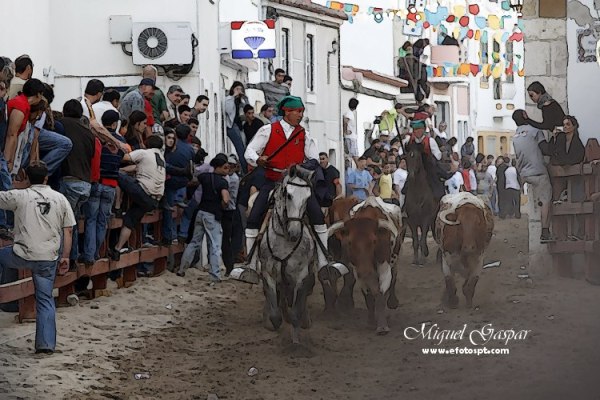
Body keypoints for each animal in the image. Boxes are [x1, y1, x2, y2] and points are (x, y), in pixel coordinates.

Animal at [328, 198, 404, 334]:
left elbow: (381, 293)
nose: (366, 271)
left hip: (395, 259)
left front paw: (382, 326)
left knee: (394, 276)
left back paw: (392, 301)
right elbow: (368, 296)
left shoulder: (384, 267)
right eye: (350, 242)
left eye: (374, 241)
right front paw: (371, 322)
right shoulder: (358, 271)